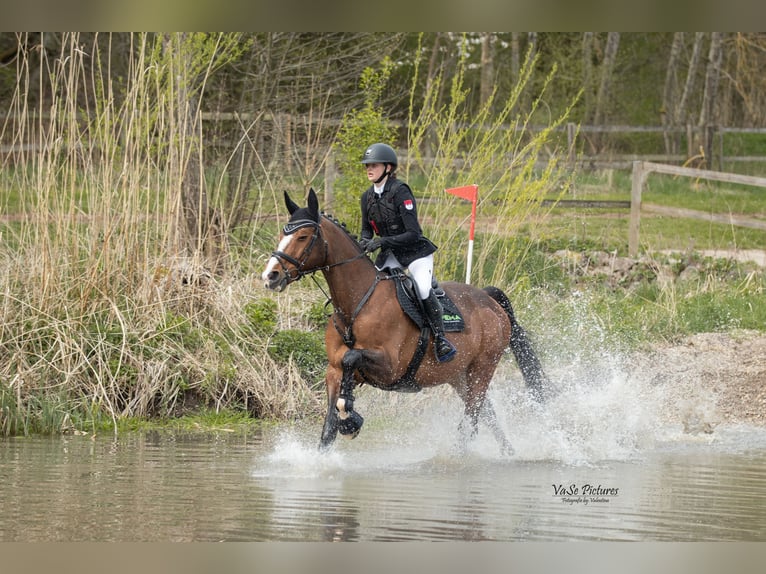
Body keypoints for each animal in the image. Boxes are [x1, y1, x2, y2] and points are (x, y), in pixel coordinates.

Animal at [262, 188, 547, 453]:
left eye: (302, 236)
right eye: (283, 234)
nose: (270, 276)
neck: (356, 306)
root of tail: (489, 300)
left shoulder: (390, 366)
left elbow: (352, 358)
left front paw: (350, 417)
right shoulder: (333, 372)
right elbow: (329, 427)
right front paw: (341, 427)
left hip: (482, 368)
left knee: (472, 420)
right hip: (459, 376)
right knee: (486, 415)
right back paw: (507, 453)